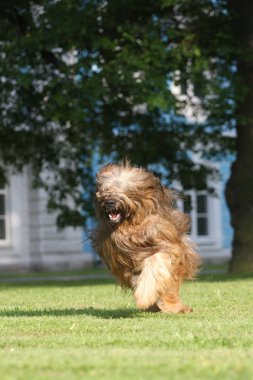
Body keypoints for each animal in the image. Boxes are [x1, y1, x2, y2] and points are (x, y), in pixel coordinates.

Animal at [92, 162, 201, 314]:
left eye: (126, 190)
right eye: (105, 190)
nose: (110, 202)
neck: (131, 227)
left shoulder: (166, 246)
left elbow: (154, 267)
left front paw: (144, 297)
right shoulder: (122, 261)